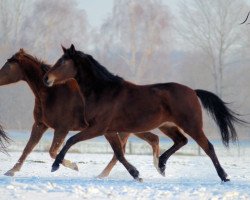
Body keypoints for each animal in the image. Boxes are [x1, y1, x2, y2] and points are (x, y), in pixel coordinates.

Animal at [0, 49, 160, 177]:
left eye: (9, 63)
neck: (51, 93)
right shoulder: (40, 125)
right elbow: (28, 148)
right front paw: (12, 171)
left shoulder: (62, 128)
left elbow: (53, 151)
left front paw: (73, 166)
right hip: (130, 129)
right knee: (150, 140)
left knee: (121, 152)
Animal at [44, 44, 244, 182]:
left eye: (62, 62)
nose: (47, 78)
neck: (103, 91)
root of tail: (193, 92)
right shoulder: (108, 131)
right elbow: (119, 154)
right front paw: (137, 175)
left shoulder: (97, 128)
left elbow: (70, 140)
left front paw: (55, 165)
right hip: (167, 126)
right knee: (181, 141)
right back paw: (161, 165)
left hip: (192, 125)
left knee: (208, 147)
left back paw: (224, 176)